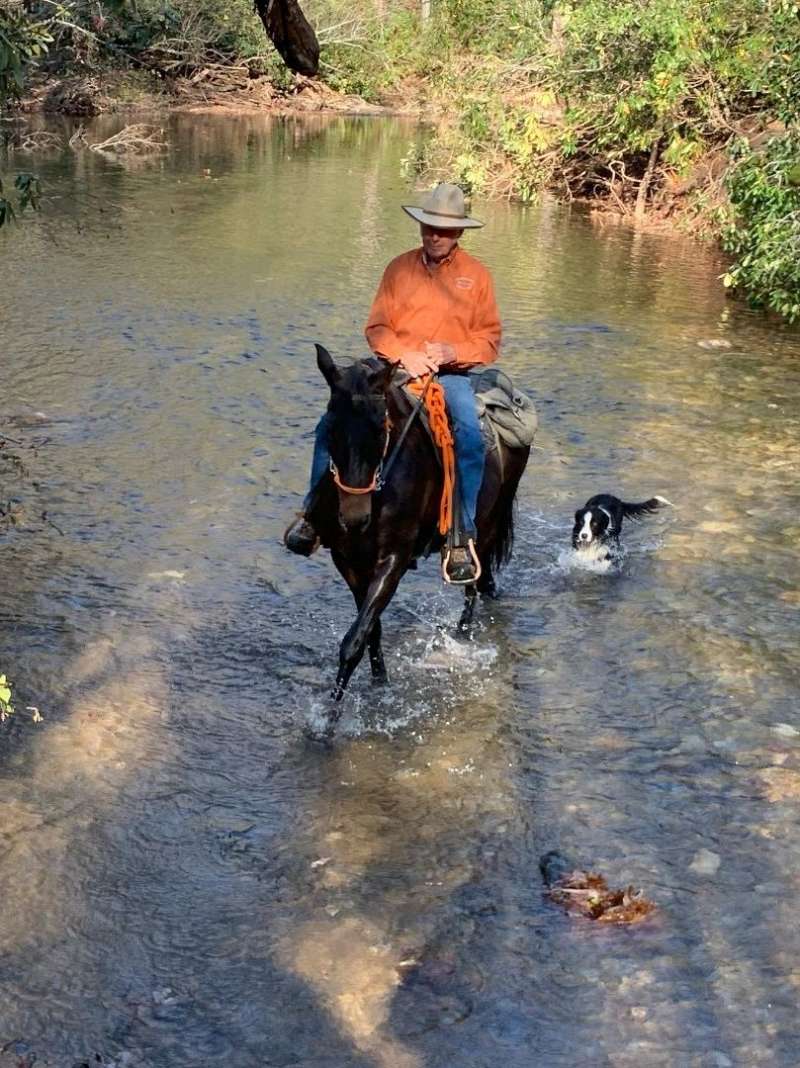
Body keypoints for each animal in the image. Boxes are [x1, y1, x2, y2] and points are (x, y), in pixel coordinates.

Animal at [309, 346, 527, 739]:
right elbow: (370, 631)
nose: (353, 519)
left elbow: (353, 641)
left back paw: (463, 638)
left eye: (380, 429)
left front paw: (329, 721)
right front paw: (379, 684)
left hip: (487, 524)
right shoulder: (349, 561)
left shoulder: (393, 560)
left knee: (473, 587)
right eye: (329, 428)